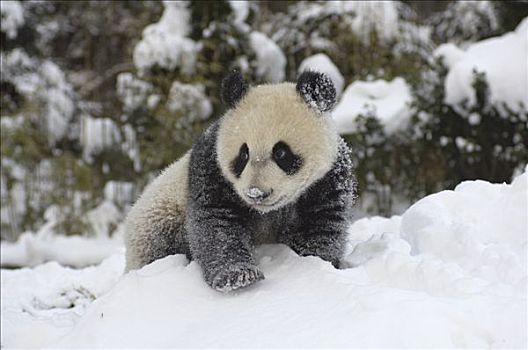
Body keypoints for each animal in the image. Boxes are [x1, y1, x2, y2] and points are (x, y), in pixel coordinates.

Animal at [125, 69, 354, 292]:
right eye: (243, 154)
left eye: (281, 152)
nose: (256, 193)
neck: (267, 212)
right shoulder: (210, 167)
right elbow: (216, 222)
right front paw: (239, 276)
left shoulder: (328, 177)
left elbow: (321, 224)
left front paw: (309, 265)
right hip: (158, 218)